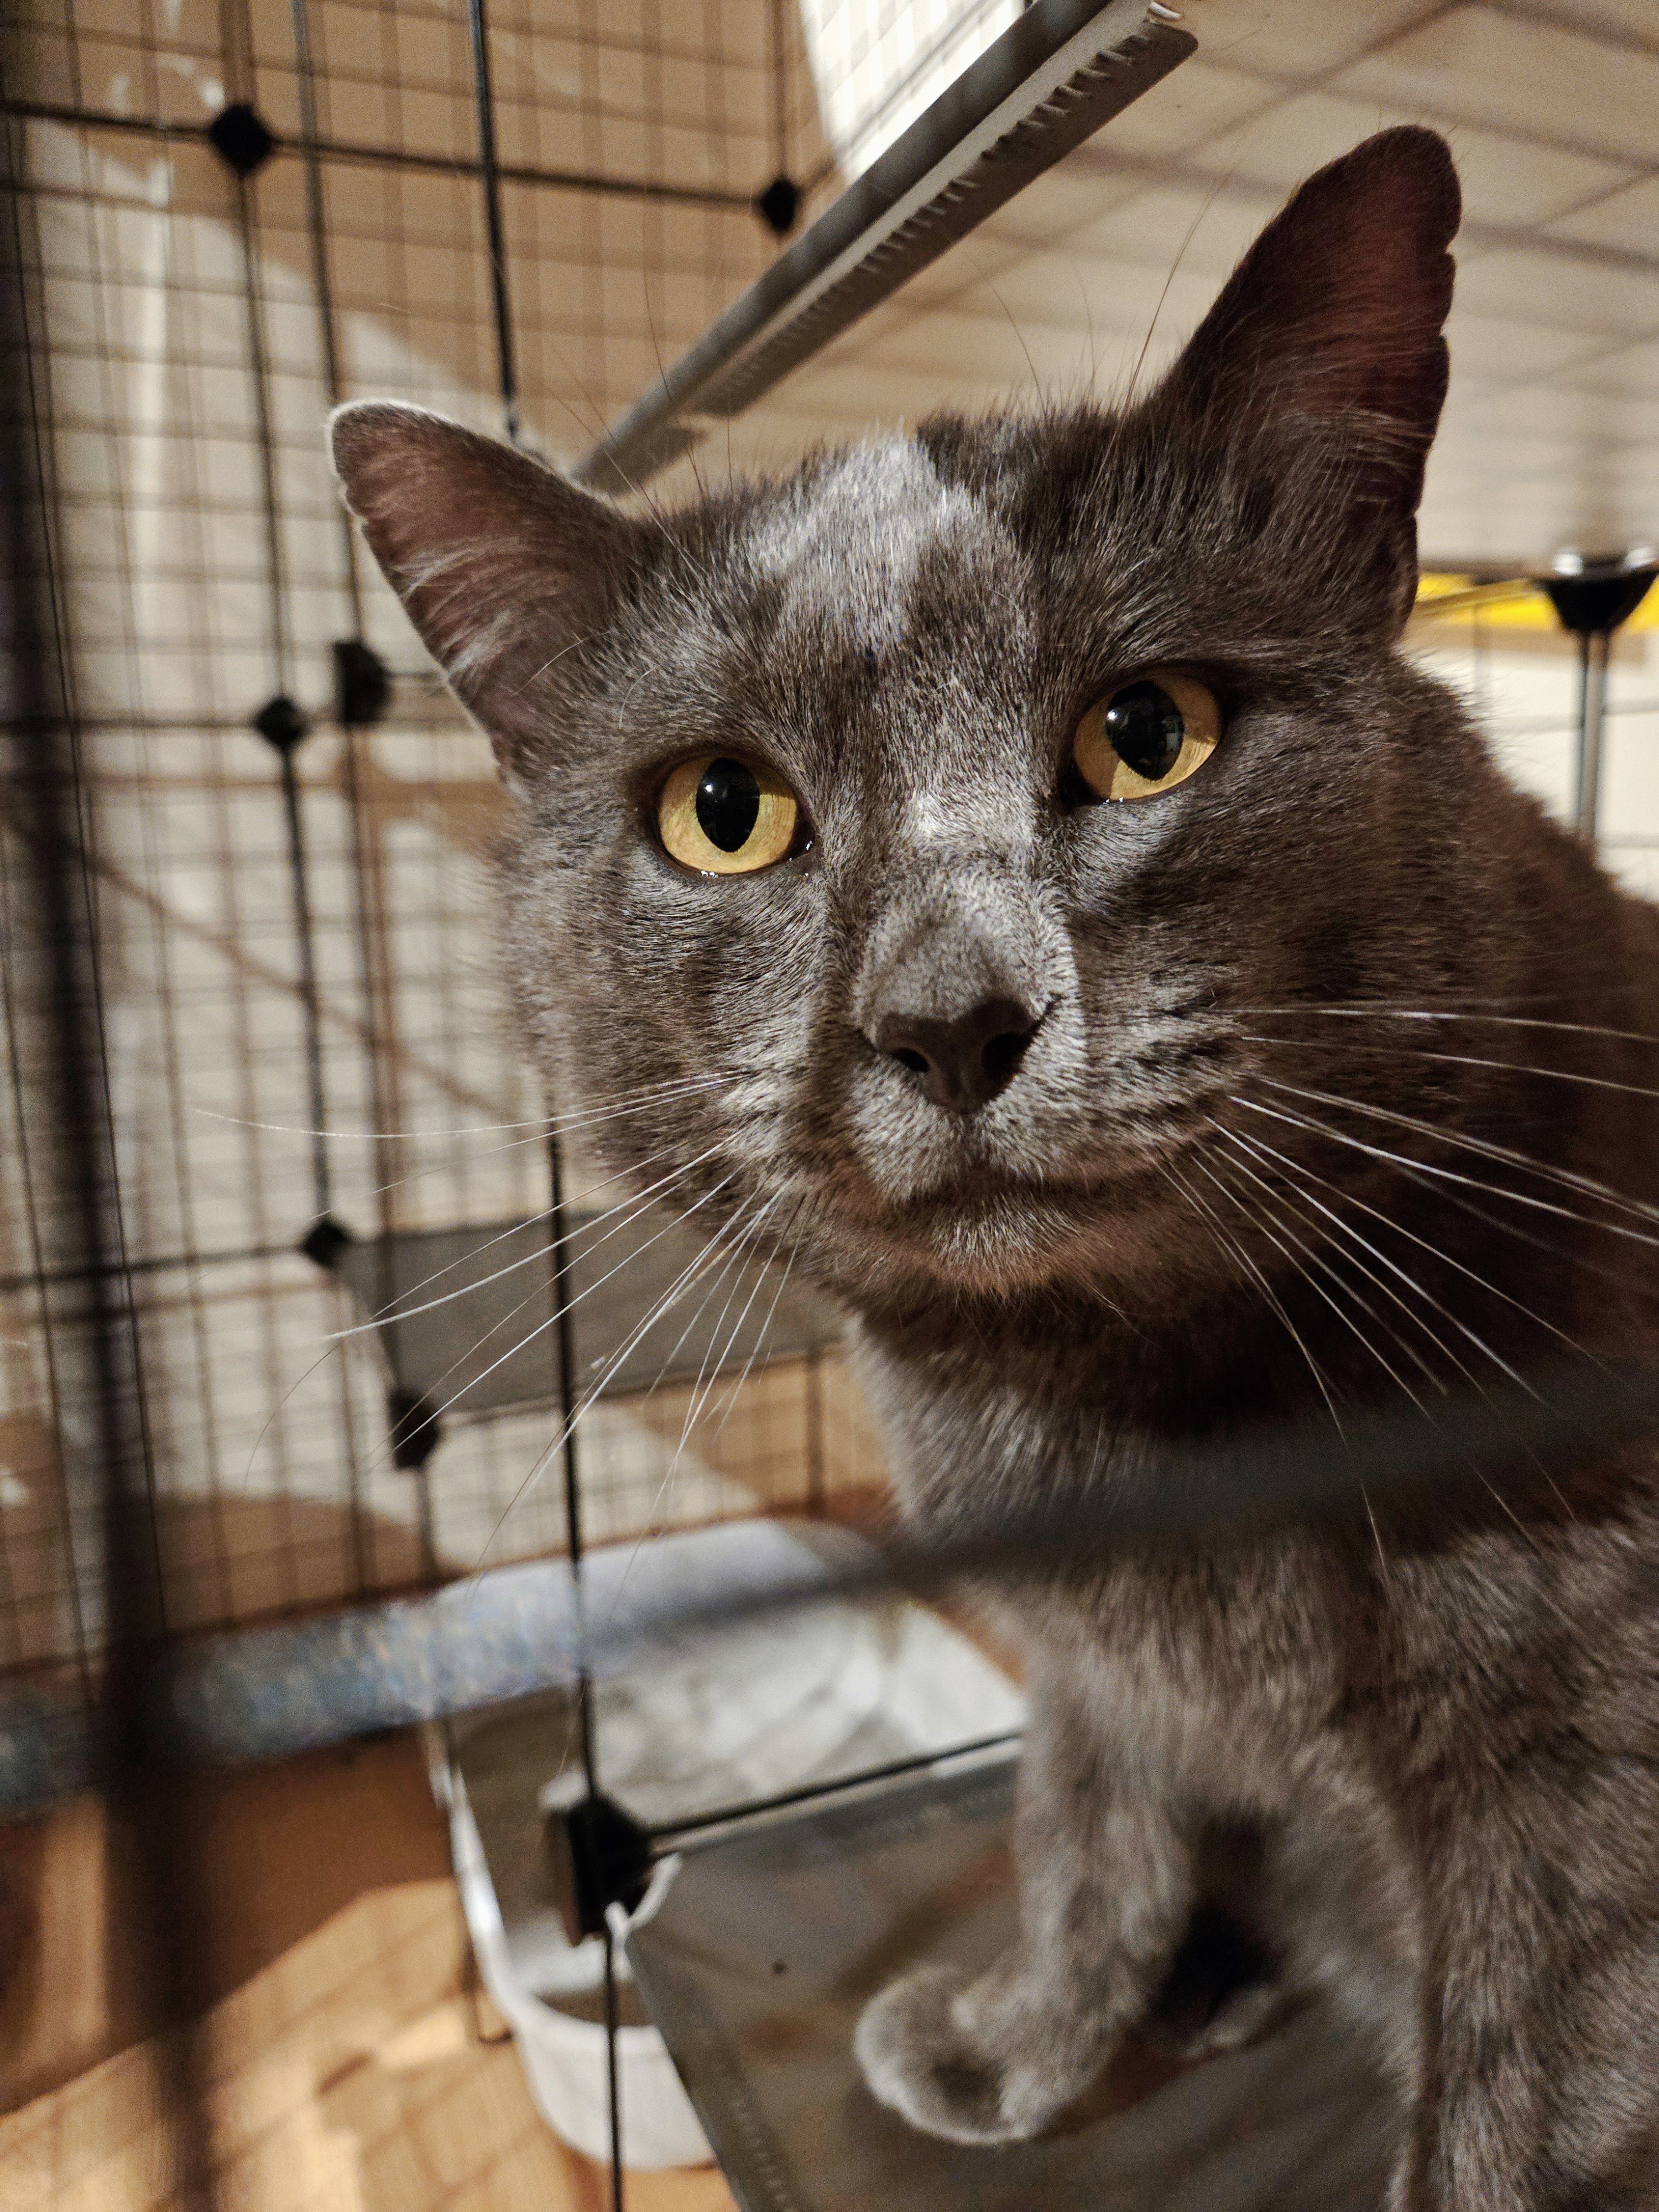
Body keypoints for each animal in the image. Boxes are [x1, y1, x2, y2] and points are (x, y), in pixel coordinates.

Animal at [327, 129, 1659, 2203]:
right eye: (725, 812)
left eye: (1150, 732)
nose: (950, 1017)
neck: (1111, 1406)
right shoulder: (1091, 1675)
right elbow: (1082, 1826)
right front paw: (1021, 2041)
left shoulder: (1587, 1775)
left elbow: (1510, 2126)